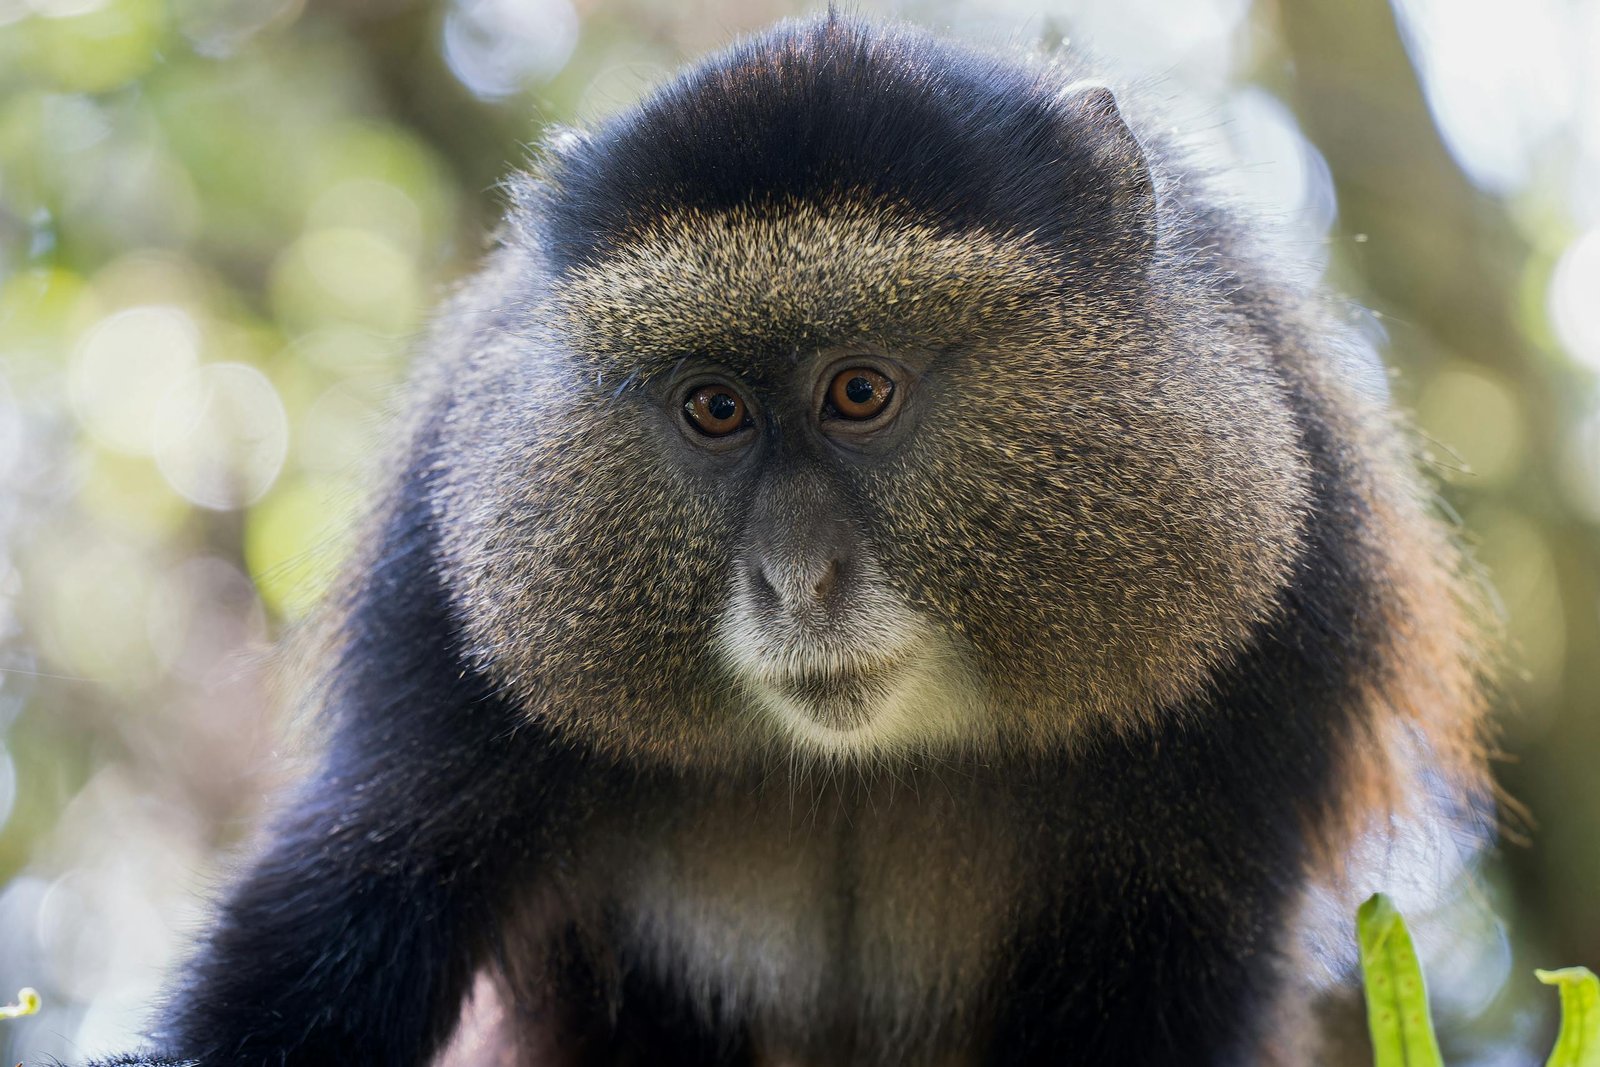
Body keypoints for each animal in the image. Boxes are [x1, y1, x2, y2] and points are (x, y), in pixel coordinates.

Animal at [90, 14, 1492, 1067]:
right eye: (713, 407)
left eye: (858, 391)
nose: (794, 579)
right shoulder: (444, 609)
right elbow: (350, 895)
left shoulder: (1273, 644)